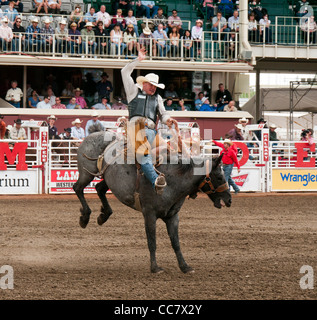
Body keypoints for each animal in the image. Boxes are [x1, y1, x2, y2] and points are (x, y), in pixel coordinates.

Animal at [73, 129, 231, 274]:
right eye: (219, 177)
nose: (229, 200)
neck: (172, 180)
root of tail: (92, 135)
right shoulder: (149, 214)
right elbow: (152, 242)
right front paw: (155, 268)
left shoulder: (173, 216)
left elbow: (176, 243)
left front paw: (184, 266)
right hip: (86, 173)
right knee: (78, 188)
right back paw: (85, 217)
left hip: (107, 179)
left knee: (99, 188)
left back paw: (103, 215)